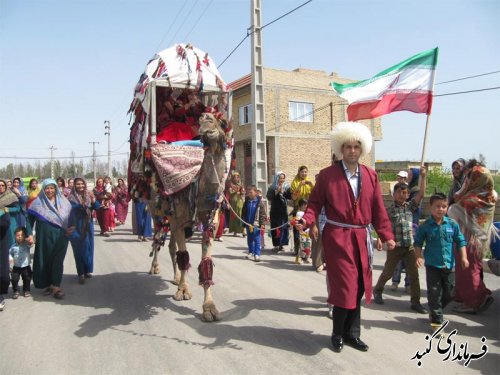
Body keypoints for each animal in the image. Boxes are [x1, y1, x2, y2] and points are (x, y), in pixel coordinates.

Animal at [146, 112, 229, 324]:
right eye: (201, 120)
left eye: (222, 121)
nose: (207, 119)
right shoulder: (178, 218)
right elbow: (184, 255)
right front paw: (183, 291)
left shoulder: (209, 222)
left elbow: (205, 261)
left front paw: (209, 308)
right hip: (158, 214)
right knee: (158, 241)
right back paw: (154, 268)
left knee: (170, 246)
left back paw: (175, 278)